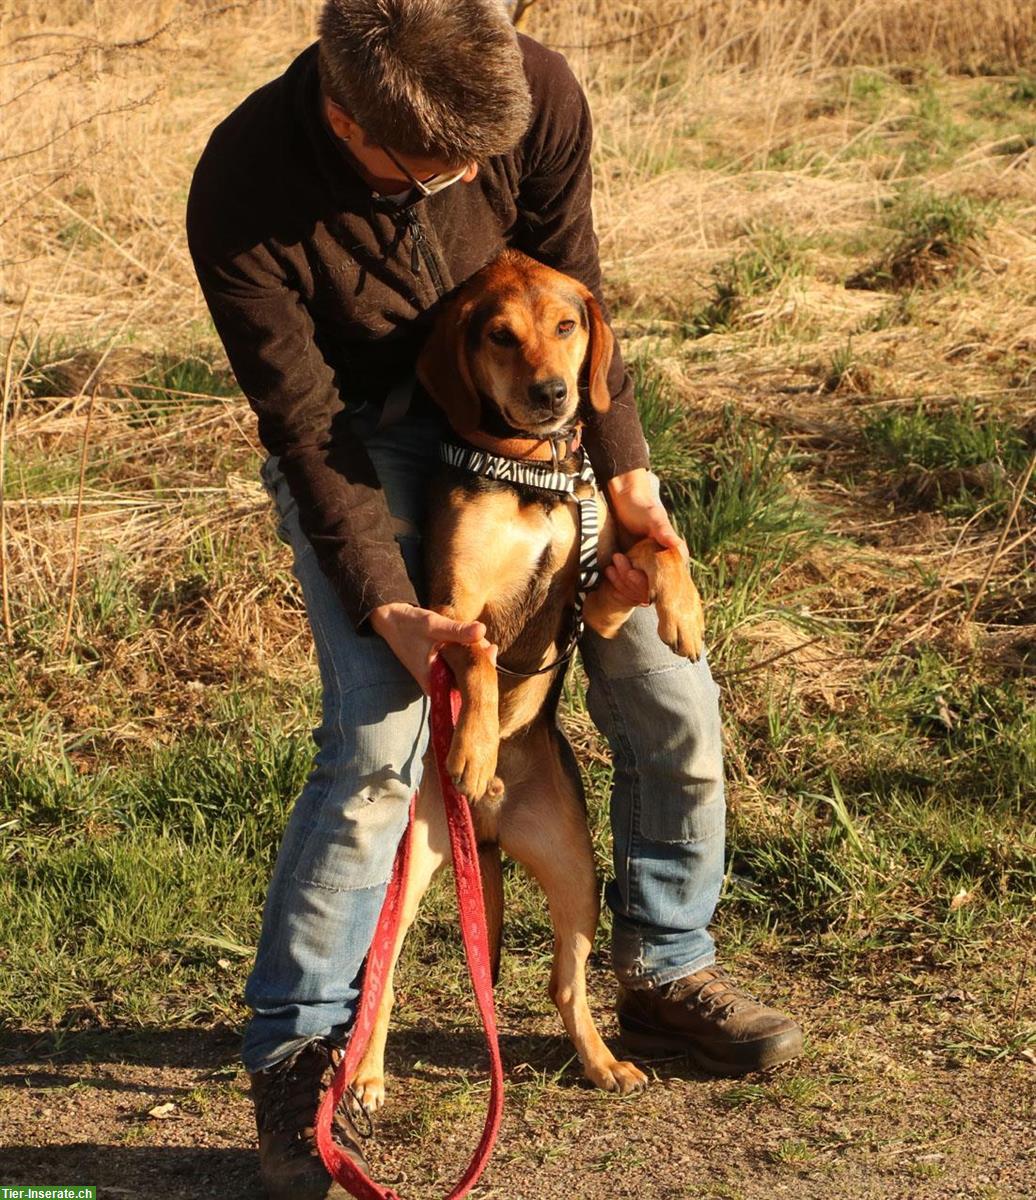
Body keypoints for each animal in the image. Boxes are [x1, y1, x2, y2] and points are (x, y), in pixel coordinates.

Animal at [350, 250, 705, 1104]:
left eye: (568, 325)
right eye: (500, 336)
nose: (552, 395)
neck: (528, 471)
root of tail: (490, 828)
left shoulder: (600, 592)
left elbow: (661, 551)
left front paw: (685, 615)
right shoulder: (451, 607)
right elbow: (480, 655)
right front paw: (475, 749)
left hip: (577, 870)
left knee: (566, 983)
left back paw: (602, 1061)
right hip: (410, 869)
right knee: (382, 979)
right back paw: (367, 1077)